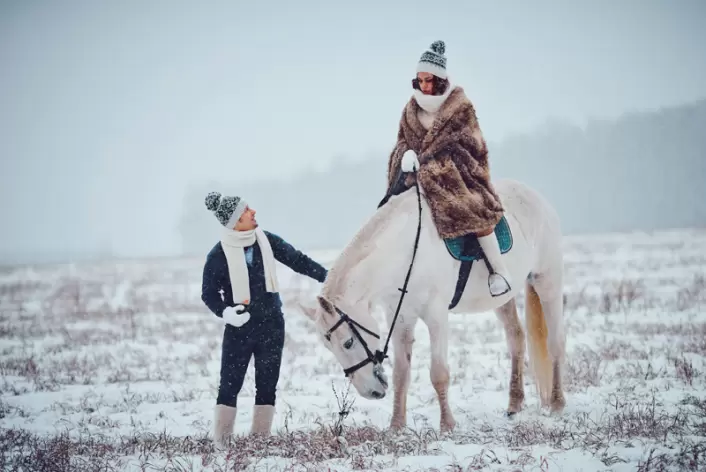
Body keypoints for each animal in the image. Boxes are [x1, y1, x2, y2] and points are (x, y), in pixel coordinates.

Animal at [298, 178, 568, 432]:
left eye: (348, 342)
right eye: (329, 347)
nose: (370, 392)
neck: (408, 252)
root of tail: (537, 198)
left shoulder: (436, 315)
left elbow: (439, 373)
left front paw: (447, 425)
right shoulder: (401, 317)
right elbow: (401, 373)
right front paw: (396, 426)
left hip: (548, 282)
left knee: (555, 344)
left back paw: (557, 403)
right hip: (502, 299)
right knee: (516, 339)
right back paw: (514, 404)